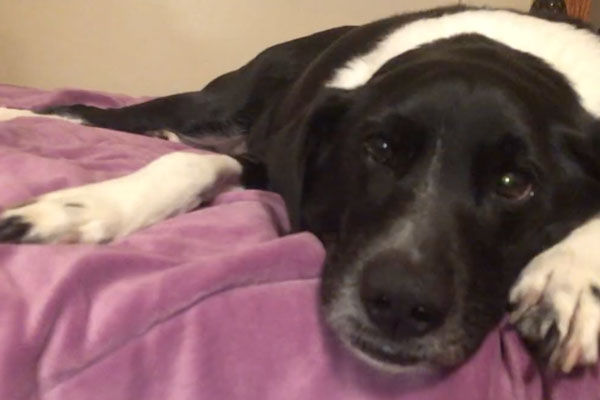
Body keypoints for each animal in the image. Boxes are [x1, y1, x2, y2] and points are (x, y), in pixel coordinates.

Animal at [1, 6, 600, 374]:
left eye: (514, 183)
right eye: (380, 147)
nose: (401, 305)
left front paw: (569, 280)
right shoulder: (275, 159)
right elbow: (183, 165)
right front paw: (79, 207)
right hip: (216, 101)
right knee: (95, 115)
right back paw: (18, 115)